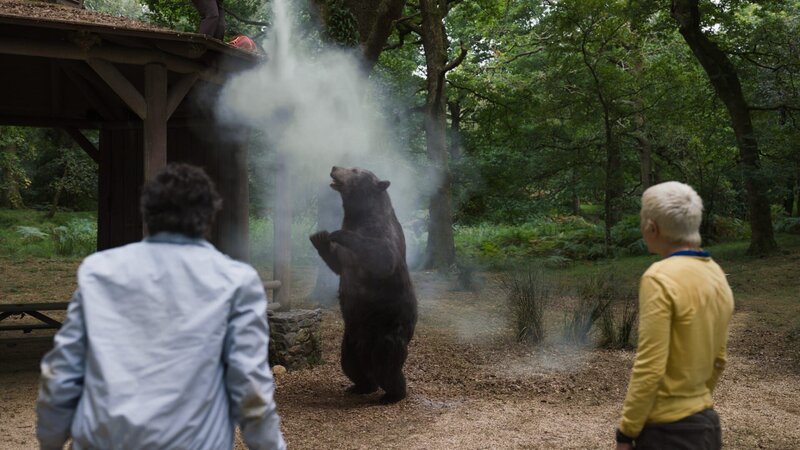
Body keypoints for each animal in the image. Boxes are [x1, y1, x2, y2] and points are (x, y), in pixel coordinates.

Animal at [309, 166, 418, 404]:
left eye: (355, 169)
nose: (334, 167)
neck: (360, 216)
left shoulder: (383, 235)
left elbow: (382, 256)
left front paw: (336, 233)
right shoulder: (346, 259)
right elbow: (337, 263)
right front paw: (319, 237)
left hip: (387, 331)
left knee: (387, 365)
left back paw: (392, 394)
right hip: (350, 337)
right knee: (350, 364)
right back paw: (360, 386)